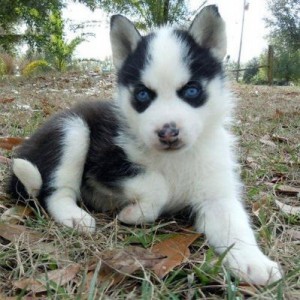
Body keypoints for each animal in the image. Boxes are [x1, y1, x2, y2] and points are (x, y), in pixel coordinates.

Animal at [7, 5, 282, 286]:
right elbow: (157, 185)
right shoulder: (104, 164)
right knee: (54, 190)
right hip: (73, 129)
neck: (175, 159)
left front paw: (253, 261)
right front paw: (135, 213)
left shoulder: (216, 194)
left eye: (191, 91)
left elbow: (234, 224)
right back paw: (75, 216)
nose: (168, 133)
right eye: (142, 94)